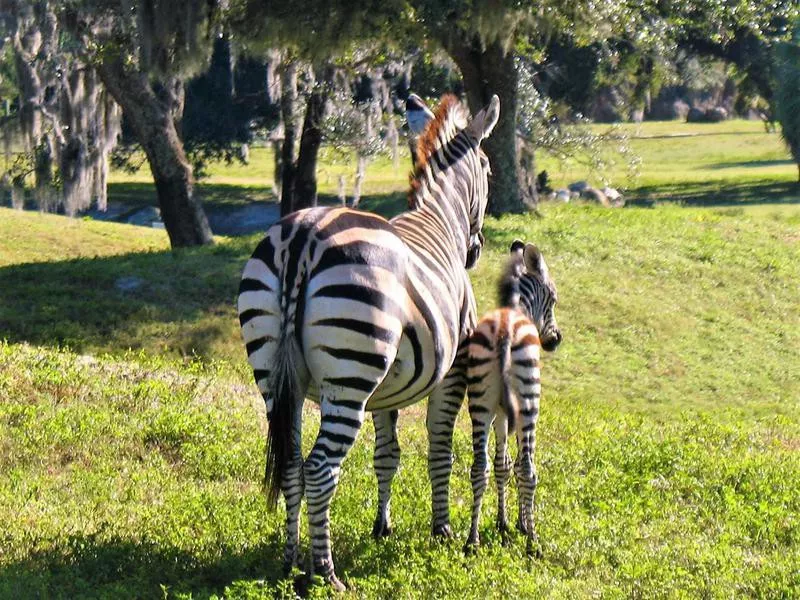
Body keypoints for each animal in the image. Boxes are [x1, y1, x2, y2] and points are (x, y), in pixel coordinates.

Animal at [238, 95, 500, 592]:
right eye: (490, 171)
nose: (475, 251)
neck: (439, 221)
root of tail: (301, 238)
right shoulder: (452, 371)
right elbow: (440, 449)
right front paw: (442, 529)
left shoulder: (386, 391)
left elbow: (387, 456)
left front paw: (382, 527)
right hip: (350, 378)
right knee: (320, 469)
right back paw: (325, 573)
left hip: (279, 380)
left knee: (292, 465)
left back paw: (290, 561)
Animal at [462, 238, 564, 552]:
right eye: (554, 299)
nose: (555, 340)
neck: (515, 308)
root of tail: (506, 332)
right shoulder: (518, 412)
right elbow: (518, 466)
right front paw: (522, 524)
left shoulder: (499, 414)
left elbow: (502, 466)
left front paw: (503, 522)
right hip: (529, 404)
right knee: (529, 470)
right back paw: (533, 544)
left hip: (480, 406)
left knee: (478, 468)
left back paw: (472, 541)